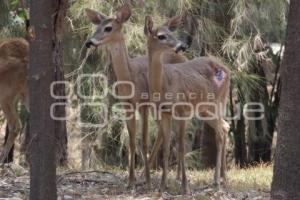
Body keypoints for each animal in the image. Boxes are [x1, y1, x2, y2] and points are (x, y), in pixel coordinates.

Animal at [84, 3, 189, 187]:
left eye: (108, 28)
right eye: (96, 27)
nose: (90, 42)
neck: (130, 78)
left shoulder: (144, 103)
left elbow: (144, 140)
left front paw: (146, 180)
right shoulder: (127, 105)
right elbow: (132, 141)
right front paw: (131, 180)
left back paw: (170, 177)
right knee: (163, 133)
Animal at [144, 15, 231, 192]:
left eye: (172, 31)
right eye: (161, 35)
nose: (181, 45)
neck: (164, 84)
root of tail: (228, 70)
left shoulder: (182, 110)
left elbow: (182, 147)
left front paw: (185, 186)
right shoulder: (165, 113)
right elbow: (166, 147)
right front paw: (162, 186)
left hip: (219, 102)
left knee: (220, 132)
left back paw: (217, 181)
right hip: (205, 109)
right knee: (225, 126)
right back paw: (223, 178)